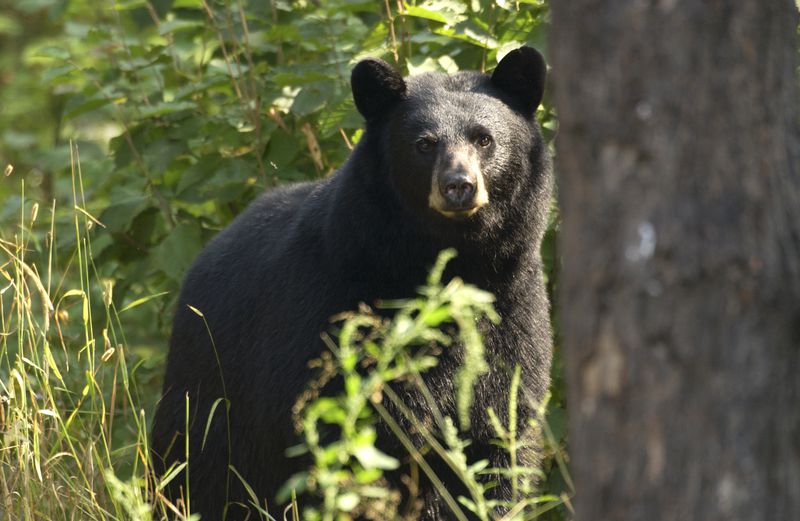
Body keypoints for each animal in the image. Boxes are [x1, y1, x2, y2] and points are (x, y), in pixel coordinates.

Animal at [150, 46, 552, 516]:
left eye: (484, 139)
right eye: (424, 143)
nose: (459, 186)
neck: (449, 264)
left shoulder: (512, 313)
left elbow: (501, 439)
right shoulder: (333, 311)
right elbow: (340, 436)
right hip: (209, 388)